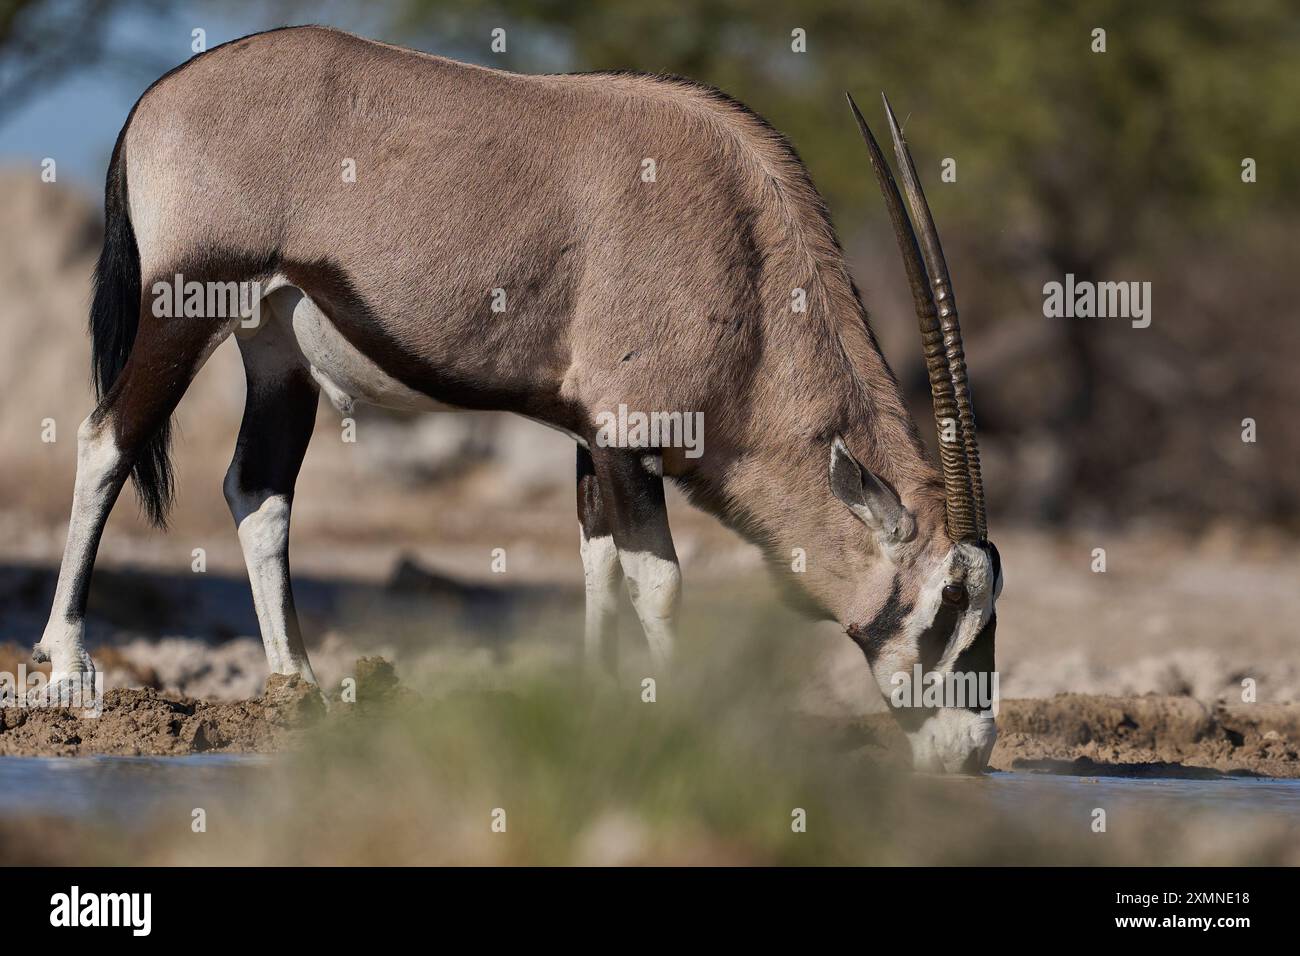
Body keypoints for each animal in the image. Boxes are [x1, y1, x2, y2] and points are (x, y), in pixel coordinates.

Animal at [35, 26, 998, 775]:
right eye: (951, 603)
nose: (975, 750)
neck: (751, 264)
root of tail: (158, 98)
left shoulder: (589, 438)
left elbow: (598, 564)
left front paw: (602, 702)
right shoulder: (627, 435)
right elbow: (658, 582)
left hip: (275, 345)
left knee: (258, 490)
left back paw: (297, 689)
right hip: (185, 305)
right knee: (106, 440)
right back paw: (66, 669)